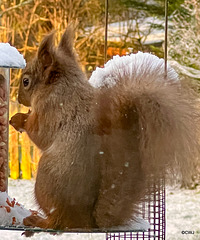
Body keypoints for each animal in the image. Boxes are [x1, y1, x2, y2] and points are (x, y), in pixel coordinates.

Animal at [9, 26, 200, 231]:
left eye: (26, 81)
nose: (19, 99)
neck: (63, 87)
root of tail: (87, 221)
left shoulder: (52, 112)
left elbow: (39, 134)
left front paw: (19, 119)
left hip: (46, 183)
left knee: (57, 223)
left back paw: (38, 221)